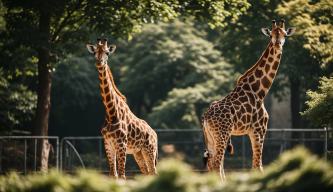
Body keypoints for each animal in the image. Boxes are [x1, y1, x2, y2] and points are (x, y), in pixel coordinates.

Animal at [85, 38, 158, 179]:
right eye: (95, 52)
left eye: (107, 52)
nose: (99, 62)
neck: (110, 112)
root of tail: (155, 134)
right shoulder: (108, 144)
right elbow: (113, 175)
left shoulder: (121, 144)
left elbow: (122, 176)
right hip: (138, 152)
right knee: (146, 172)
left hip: (150, 150)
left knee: (154, 172)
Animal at [201, 19, 294, 180]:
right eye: (271, 35)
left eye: (284, 35)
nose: (278, 43)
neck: (260, 91)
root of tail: (206, 117)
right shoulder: (259, 129)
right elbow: (258, 166)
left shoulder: (253, 131)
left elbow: (256, 165)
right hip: (222, 134)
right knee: (217, 164)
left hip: (212, 137)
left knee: (213, 164)